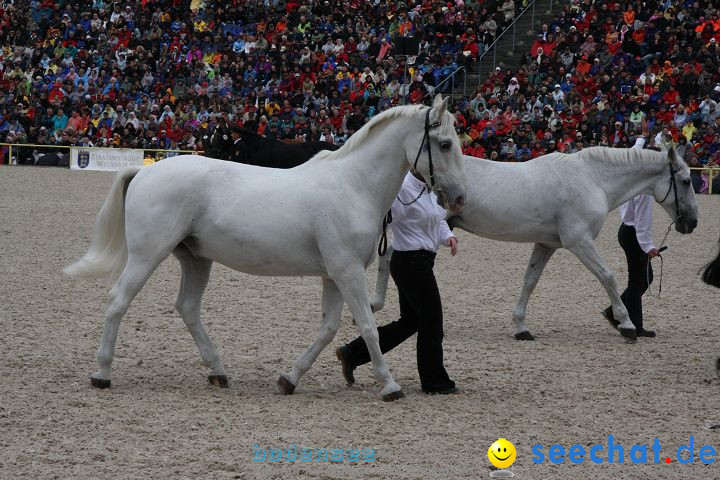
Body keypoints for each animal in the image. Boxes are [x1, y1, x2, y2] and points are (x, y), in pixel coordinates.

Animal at [372, 146, 696, 342]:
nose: (691, 222)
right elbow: (608, 277)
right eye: (686, 181)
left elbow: (530, 281)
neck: (592, 179)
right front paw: (627, 325)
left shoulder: (545, 244)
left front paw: (521, 327)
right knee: (389, 257)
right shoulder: (579, 241)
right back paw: (377, 304)